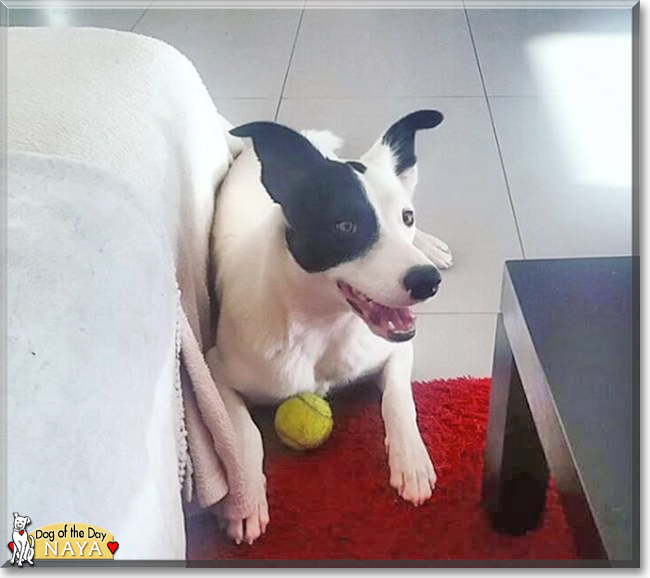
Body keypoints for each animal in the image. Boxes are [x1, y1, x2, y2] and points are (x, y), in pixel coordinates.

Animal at [208, 109, 450, 544]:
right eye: (346, 227)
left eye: (406, 217)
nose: (427, 282)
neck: (323, 327)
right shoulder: (215, 368)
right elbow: (244, 433)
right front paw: (244, 501)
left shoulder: (396, 348)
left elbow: (398, 400)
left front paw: (411, 460)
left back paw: (429, 245)